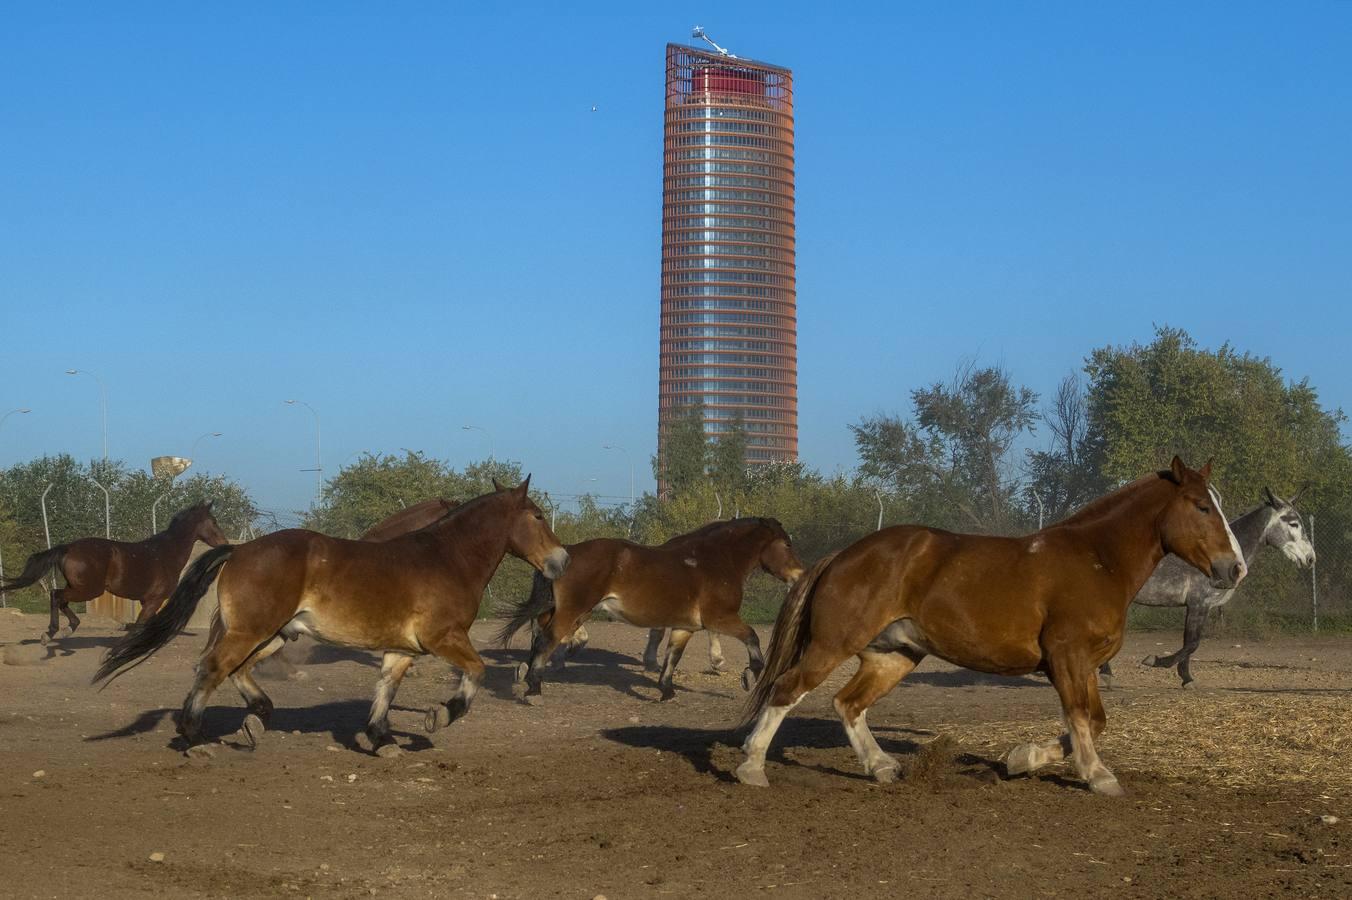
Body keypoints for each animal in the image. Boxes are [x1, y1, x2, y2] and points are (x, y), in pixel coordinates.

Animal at [0, 497, 227, 637]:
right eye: (214, 521)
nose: (224, 542)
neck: (166, 553)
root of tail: (67, 548)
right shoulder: (154, 600)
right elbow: (138, 627)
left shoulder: (147, 601)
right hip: (89, 590)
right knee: (56, 595)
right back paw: (52, 632)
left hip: (79, 587)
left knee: (61, 600)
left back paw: (67, 628)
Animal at [93, 475, 570, 751]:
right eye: (538, 515)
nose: (561, 560)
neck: (446, 558)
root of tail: (240, 550)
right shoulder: (444, 638)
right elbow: (477, 671)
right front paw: (440, 715)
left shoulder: (402, 649)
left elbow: (385, 689)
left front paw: (380, 738)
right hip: (253, 631)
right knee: (212, 668)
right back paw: (195, 738)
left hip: (276, 635)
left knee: (236, 671)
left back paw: (257, 719)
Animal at [497, 518, 800, 702]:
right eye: (786, 544)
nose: (799, 575)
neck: (714, 561)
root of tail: (564, 554)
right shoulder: (721, 618)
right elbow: (752, 636)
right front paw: (751, 674)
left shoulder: (684, 627)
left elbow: (672, 657)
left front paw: (666, 691)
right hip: (573, 611)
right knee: (547, 640)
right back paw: (534, 687)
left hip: (561, 611)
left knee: (540, 638)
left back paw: (528, 672)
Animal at [740, 459, 1243, 794]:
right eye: (1201, 506)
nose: (1234, 568)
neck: (1098, 560)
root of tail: (844, 555)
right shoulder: (1067, 658)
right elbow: (1081, 718)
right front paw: (1098, 775)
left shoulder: (1086, 664)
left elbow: (1094, 721)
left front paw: (1023, 759)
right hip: (833, 644)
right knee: (787, 689)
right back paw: (752, 767)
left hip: (893, 656)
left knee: (848, 704)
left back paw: (881, 766)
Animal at [1103, 483, 1314, 686]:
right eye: (1294, 523)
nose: (1310, 558)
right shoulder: (1199, 603)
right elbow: (1192, 643)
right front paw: (1155, 661)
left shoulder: (1202, 606)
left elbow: (1190, 642)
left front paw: (1186, 678)